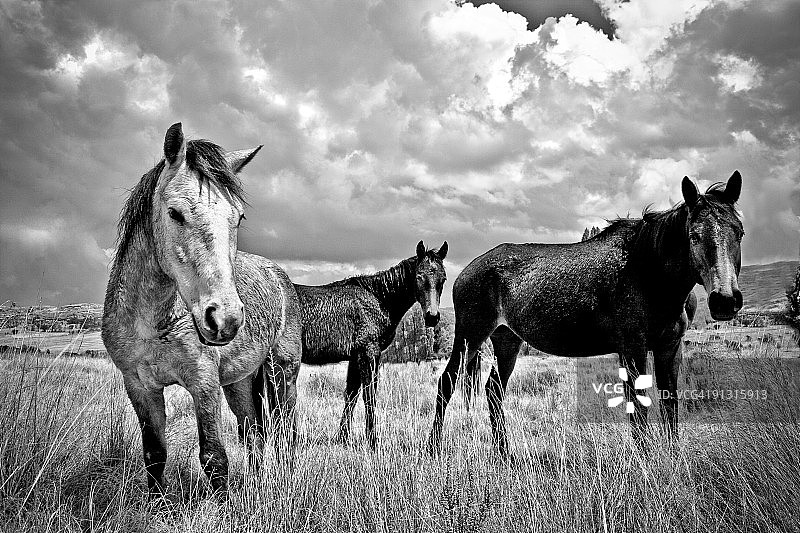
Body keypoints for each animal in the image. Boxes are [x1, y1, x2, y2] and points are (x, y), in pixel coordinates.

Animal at [102, 123, 302, 496]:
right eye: (175, 213)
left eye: (238, 217)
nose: (226, 319)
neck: (153, 324)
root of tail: (278, 274)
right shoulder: (139, 386)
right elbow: (154, 454)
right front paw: (156, 503)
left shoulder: (203, 383)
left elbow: (214, 457)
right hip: (240, 381)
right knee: (253, 431)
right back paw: (254, 483)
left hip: (283, 370)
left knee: (287, 429)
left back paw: (287, 481)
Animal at [294, 241, 448, 448]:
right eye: (419, 276)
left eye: (443, 279)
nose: (432, 317)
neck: (378, 298)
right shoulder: (369, 353)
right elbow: (369, 395)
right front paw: (373, 441)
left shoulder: (355, 356)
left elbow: (351, 394)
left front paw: (343, 438)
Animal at [428, 172, 744, 455]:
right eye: (694, 235)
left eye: (739, 232)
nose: (725, 300)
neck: (647, 270)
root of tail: (464, 273)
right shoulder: (633, 347)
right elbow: (638, 406)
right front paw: (646, 462)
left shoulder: (670, 346)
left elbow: (670, 403)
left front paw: (674, 458)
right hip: (470, 336)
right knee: (447, 384)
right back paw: (434, 449)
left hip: (507, 340)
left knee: (494, 391)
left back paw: (504, 454)